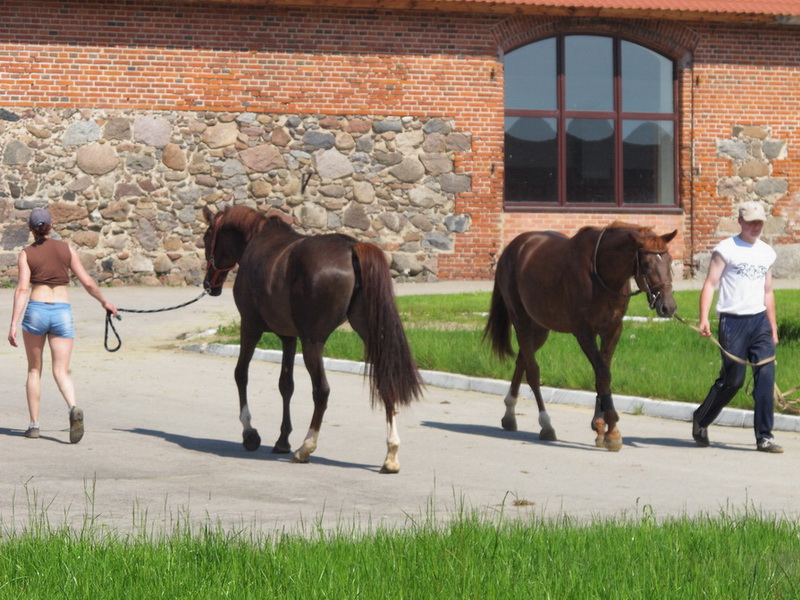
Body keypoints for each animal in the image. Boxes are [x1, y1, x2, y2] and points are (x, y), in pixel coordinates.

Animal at [203, 206, 422, 474]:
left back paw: (306, 447)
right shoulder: (288, 336)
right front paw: (282, 440)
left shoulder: (250, 327)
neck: (257, 239)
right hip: (371, 337)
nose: (209, 285)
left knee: (321, 391)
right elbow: (286, 384)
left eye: (206, 239)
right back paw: (391, 454)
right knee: (385, 382)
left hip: (312, 342)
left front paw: (250, 434)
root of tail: (353, 247)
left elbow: (241, 374)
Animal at [484, 223, 680, 452]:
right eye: (647, 264)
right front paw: (612, 431)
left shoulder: (612, 330)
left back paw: (509, 415)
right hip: (521, 321)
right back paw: (545, 424)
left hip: (540, 329)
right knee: (532, 371)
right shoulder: (584, 332)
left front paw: (600, 428)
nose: (668, 307)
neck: (601, 274)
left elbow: (601, 376)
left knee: (521, 361)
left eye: (669, 260)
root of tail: (512, 248)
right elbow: (603, 374)